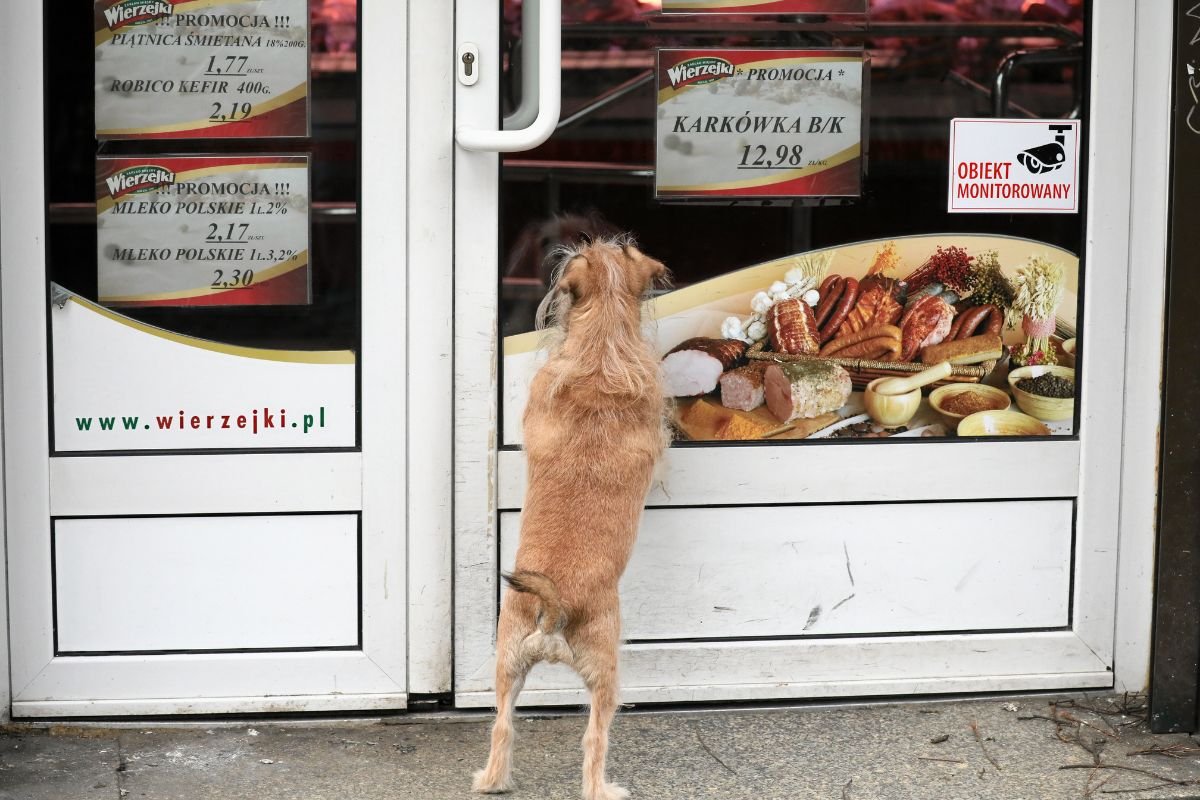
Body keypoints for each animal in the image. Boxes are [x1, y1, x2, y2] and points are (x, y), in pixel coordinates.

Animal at [472, 235, 672, 796]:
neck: (602, 344)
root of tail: (553, 610)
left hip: (506, 663)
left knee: (502, 728)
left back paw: (491, 779)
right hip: (606, 673)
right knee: (593, 741)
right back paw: (603, 788)